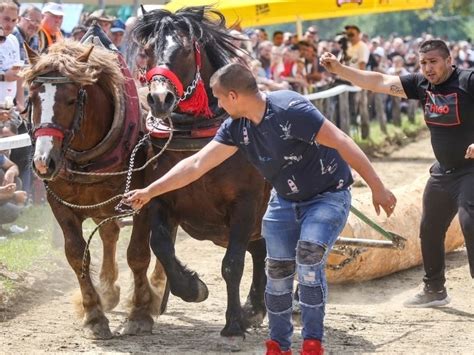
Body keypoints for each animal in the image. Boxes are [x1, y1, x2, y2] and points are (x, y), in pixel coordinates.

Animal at [22, 40, 167, 340]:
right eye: (32, 98)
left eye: (71, 99)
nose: (43, 162)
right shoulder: (61, 206)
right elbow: (77, 255)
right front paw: (93, 314)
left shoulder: (144, 200)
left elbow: (138, 254)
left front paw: (140, 311)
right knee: (110, 234)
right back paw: (109, 290)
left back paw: (158, 287)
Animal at [131, 5, 270, 340]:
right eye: (147, 51)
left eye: (182, 50)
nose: (159, 99)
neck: (196, 136)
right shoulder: (161, 196)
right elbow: (160, 245)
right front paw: (191, 286)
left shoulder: (245, 203)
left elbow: (232, 264)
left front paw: (233, 323)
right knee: (259, 248)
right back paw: (254, 307)